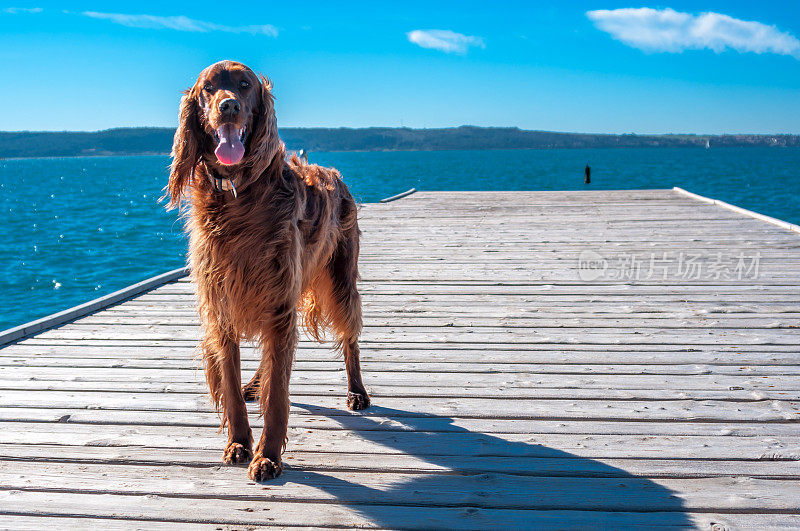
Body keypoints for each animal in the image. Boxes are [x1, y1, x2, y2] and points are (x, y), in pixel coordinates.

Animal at [167, 59, 370, 482]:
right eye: (208, 88)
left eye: (245, 85)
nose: (228, 106)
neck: (236, 196)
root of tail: (334, 173)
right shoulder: (222, 305)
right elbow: (231, 385)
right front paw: (239, 443)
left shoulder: (278, 305)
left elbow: (278, 393)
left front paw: (269, 456)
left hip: (341, 281)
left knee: (351, 338)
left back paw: (357, 392)